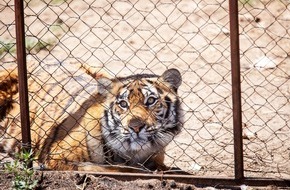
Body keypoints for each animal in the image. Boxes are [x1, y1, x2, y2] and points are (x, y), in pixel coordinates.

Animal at [0, 62, 181, 172]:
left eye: (150, 101)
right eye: (123, 104)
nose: (135, 126)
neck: (134, 153)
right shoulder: (56, 157)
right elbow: (114, 168)